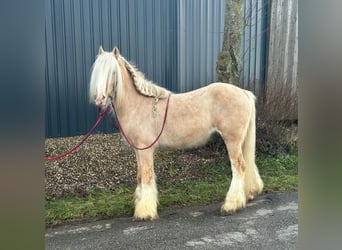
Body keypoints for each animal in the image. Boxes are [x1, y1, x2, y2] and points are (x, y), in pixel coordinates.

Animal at [89, 46, 264, 221]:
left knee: (239, 167)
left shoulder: (146, 149)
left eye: (113, 72)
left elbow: (147, 176)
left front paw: (145, 212)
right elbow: (139, 176)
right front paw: (139, 203)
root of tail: (244, 92)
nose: (100, 99)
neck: (139, 105)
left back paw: (231, 205)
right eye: (97, 71)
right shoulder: (138, 150)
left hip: (232, 140)